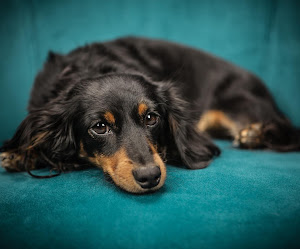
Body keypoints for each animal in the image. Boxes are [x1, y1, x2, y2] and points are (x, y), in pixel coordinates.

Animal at [0, 36, 300, 193]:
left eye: (150, 118)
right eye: (99, 126)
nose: (150, 177)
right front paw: (20, 154)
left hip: (238, 104)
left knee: (290, 131)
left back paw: (254, 135)